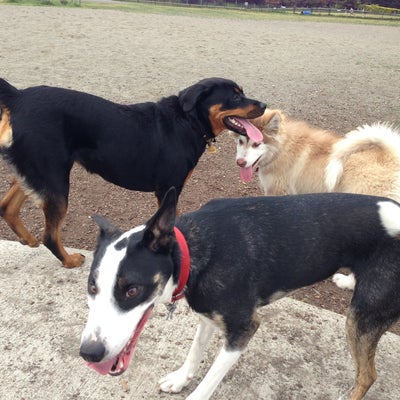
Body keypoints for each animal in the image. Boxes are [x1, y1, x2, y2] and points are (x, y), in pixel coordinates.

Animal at [0, 76, 266, 268]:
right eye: (235, 95)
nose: (264, 104)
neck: (187, 121)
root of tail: (19, 97)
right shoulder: (169, 188)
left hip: (36, 172)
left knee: (7, 206)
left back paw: (28, 239)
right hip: (53, 178)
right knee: (50, 235)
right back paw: (69, 260)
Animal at [80, 188, 400, 400]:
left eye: (132, 290)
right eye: (92, 288)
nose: (89, 353)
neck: (193, 251)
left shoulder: (243, 329)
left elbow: (208, 382)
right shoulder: (208, 315)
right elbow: (195, 350)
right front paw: (181, 378)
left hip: (361, 319)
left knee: (367, 375)